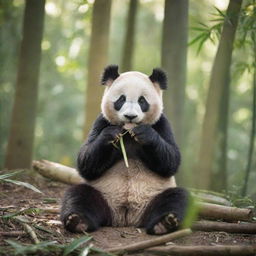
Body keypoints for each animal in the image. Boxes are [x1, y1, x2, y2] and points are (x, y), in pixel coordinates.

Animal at [60, 65, 188, 235]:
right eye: (121, 99)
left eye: (142, 101)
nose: (130, 116)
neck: (128, 133)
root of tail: (126, 218)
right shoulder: (101, 121)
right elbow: (86, 161)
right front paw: (111, 135)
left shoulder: (161, 123)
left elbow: (171, 160)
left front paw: (145, 134)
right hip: (103, 194)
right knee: (79, 195)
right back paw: (78, 220)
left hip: (154, 195)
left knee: (176, 197)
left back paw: (164, 223)